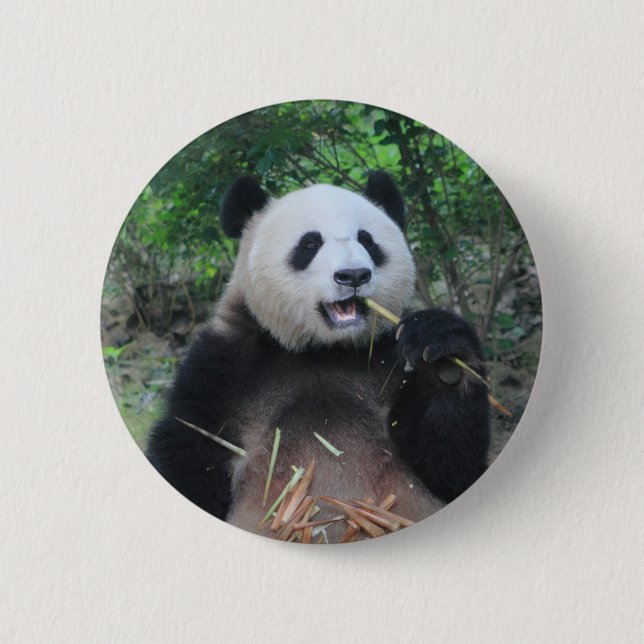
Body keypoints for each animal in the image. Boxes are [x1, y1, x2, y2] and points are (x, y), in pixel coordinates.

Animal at [145, 171, 490, 541]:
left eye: (367, 241)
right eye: (309, 244)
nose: (353, 275)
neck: (323, 349)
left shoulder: (390, 358)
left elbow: (448, 466)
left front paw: (444, 360)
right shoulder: (222, 368)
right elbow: (189, 453)